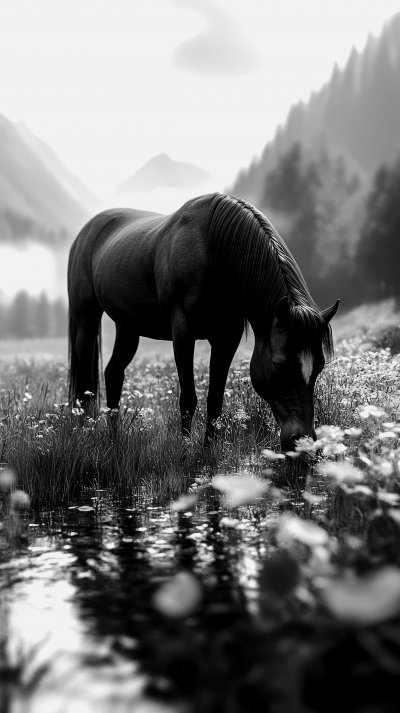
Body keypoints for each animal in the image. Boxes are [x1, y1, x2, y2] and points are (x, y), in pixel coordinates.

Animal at [67, 193, 339, 451]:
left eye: (320, 366)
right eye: (279, 365)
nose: (303, 440)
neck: (212, 252)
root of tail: (85, 232)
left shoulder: (227, 337)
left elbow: (215, 398)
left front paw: (207, 450)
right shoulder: (183, 332)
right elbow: (188, 399)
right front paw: (186, 451)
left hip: (127, 326)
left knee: (113, 373)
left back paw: (114, 439)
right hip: (86, 319)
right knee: (85, 385)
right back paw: (85, 432)